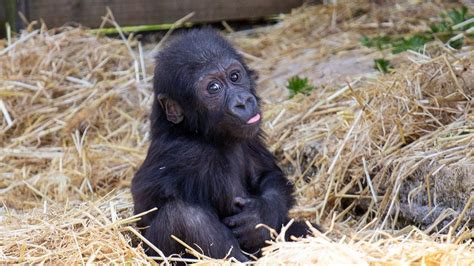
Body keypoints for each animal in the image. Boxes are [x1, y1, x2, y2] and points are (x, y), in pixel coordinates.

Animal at [131, 28, 312, 260]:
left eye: (235, 76)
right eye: (214, 87)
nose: (242, 102)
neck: (197, 132)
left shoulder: (250, 137)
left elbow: (268, 175)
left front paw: (261, 214)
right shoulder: (192, 154)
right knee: (184, 216)